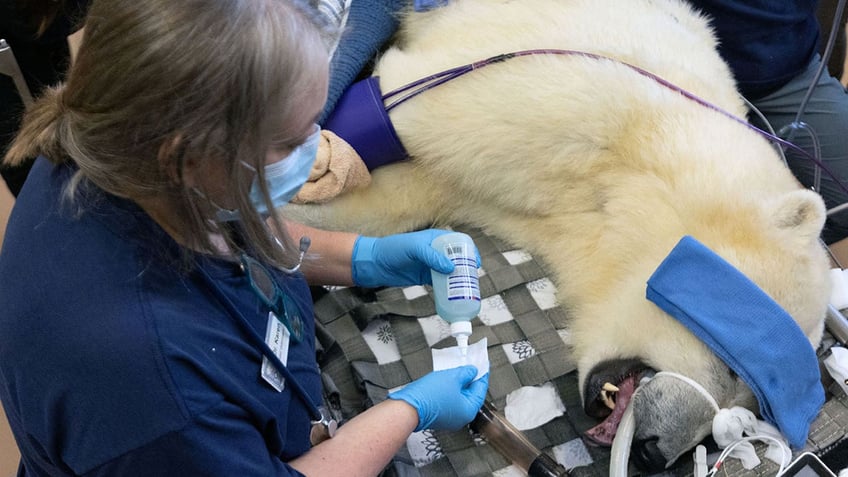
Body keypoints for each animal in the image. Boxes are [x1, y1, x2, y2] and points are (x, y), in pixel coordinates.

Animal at [288, 0, 832, 468]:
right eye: (734, 367)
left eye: (751, 413)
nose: (656, 452)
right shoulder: (567, 89)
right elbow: (411, 112)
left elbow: (408, 195)